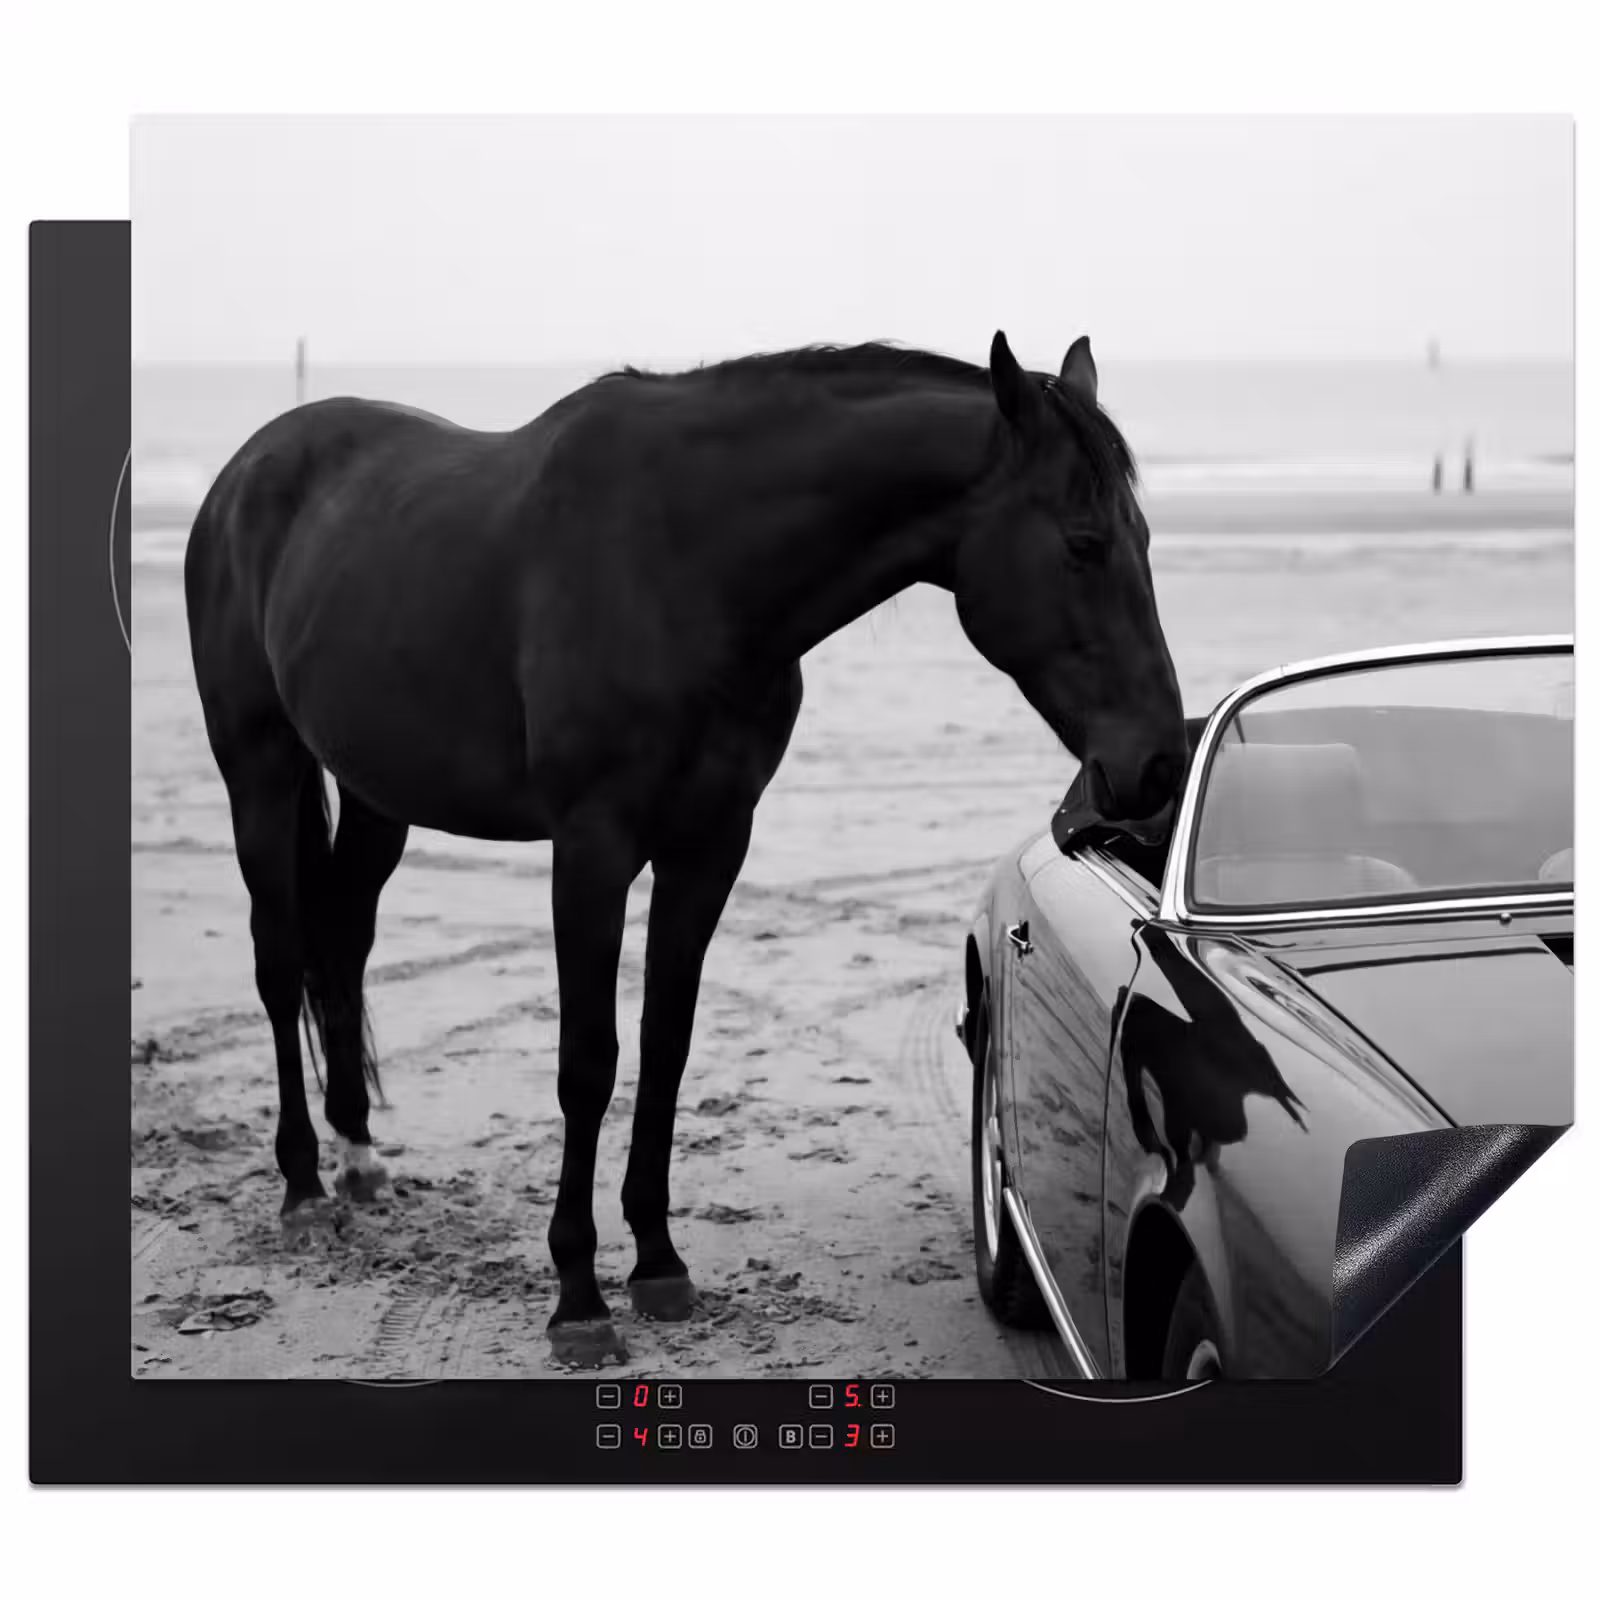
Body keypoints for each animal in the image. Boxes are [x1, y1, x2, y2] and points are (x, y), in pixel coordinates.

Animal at [184, 331, 1188, 1366]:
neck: (687, 566)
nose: (1157, 763)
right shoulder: (591, 849)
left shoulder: (709, 844)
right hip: (260, 770)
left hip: (379, 794)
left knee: (342, 943)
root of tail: (248, 469)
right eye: (1084, 544)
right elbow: (589, 1061)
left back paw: (357, 1157)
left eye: (1145, 541)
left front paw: (658, 1264)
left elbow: (666, 1043)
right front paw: (578, 1297)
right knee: (279, 963)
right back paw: (303, 1190)